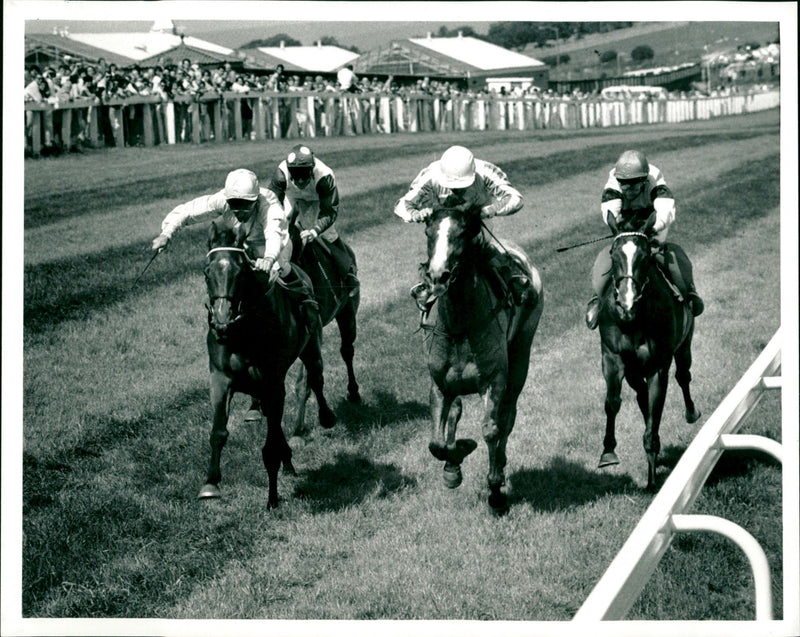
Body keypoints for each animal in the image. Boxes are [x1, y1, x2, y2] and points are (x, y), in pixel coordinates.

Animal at [203, 221, 338, 504]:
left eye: (240, 272)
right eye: (207, 272)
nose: (221, 320)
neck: (242, 334)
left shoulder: (272, 382)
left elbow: (271, 443)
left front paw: (272, 498)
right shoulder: (220, 379)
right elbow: (219, 431)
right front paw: (210, 483)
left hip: (311, 344)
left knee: (316, 378)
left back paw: (326, 417)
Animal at [418, 206, 544, 516]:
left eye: (463, 233)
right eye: (428, 232)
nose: (438, 276)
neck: (460, 327)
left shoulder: (494, 381)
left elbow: (491, 429)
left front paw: (496, 491)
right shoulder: (439, 385)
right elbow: (436, 442)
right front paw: (454, 464)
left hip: (521, 355)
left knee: (508, 416)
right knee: (456, 412)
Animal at [592, 229, 700, 492]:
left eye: (645, 257)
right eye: (613, 255)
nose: (626, 302)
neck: (633, 320)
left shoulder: (658, 366)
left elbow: (655, 404)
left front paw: (651, 476)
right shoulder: (612, 357)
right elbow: (613, 402)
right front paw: (608, 452)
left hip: (684, 344)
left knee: (683, 376)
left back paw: (691, 413)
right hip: (633, 370)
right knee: (641, 396)